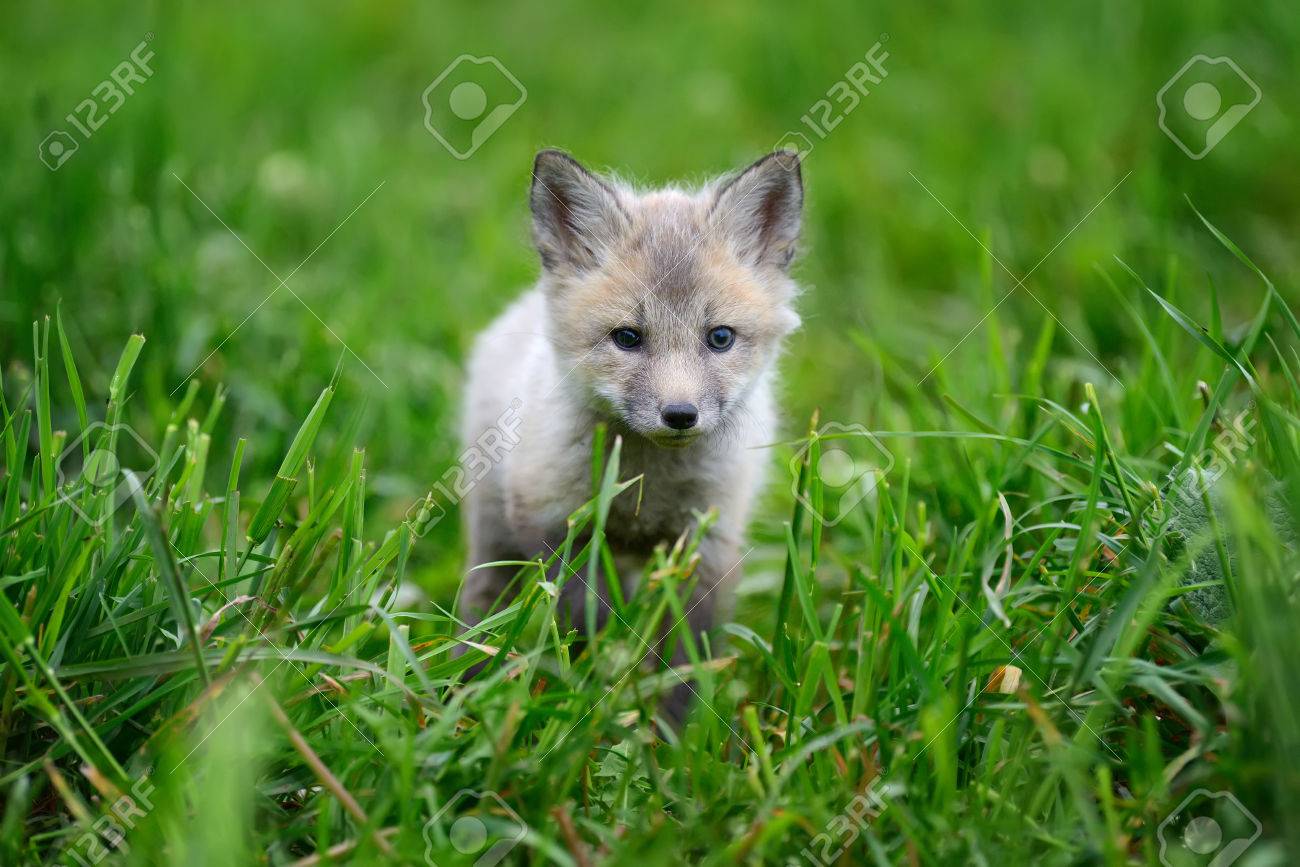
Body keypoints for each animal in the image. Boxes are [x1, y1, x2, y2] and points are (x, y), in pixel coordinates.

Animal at [459, 148, 804, 686]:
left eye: (720, 338)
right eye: (627, 338)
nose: (680, 414)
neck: (648, 484)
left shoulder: (709, 540)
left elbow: (689, 658)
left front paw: (671, 708)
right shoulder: (556, 521)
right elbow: (583, 619)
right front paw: (593, 682)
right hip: (496, 535)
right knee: (482, 604)